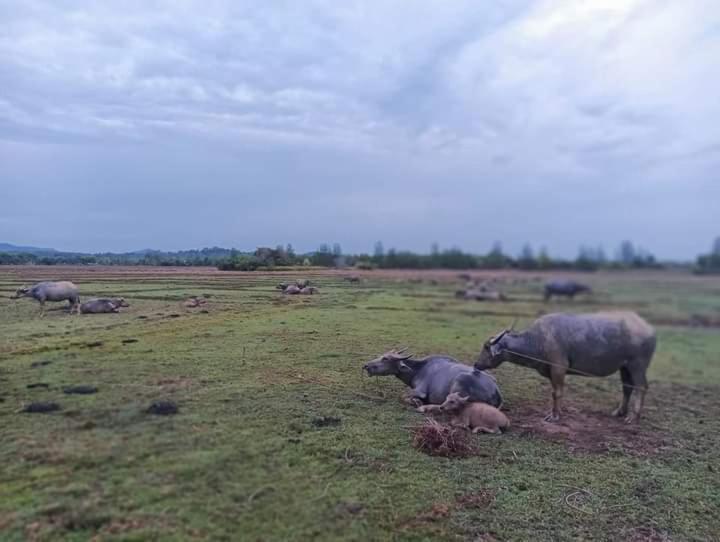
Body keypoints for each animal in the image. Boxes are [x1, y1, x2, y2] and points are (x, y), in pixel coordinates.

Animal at [362, 350, 504, 410]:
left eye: (385, 358)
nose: (366, 365)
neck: (418, 370)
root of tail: (496, 391)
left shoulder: (420, 391)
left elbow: (402, 396)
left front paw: (416, 402)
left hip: (459, 383)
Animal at [476, 314, 656, 424]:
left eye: (486, 347)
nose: (476, 365)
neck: (538, 339)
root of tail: (648, 329)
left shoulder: (558, 368)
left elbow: (557, 393)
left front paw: (554, 416)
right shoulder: (551, 372)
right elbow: (555, 392)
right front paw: (558, 412)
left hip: (638, 366)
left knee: (641, 387)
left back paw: (633, 417)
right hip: (624, 367)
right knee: (627, 387)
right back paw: (620, 412)